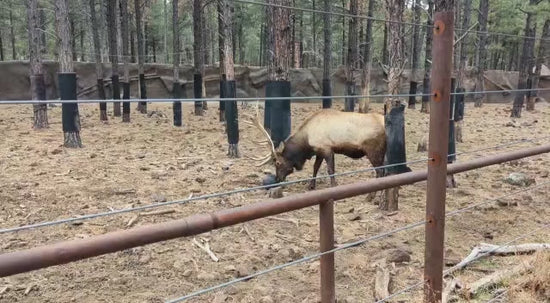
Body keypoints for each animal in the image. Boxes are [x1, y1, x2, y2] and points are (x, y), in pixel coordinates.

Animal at [246, 105, 388, 189]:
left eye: (277, 163)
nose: (277, 178)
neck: (306, 141)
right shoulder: (319, 151)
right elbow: (315, 168)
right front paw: (311, 185)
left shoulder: (327, 148)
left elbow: (330, 170)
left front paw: (334, 185)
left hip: (373, 150)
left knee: (380, 171)